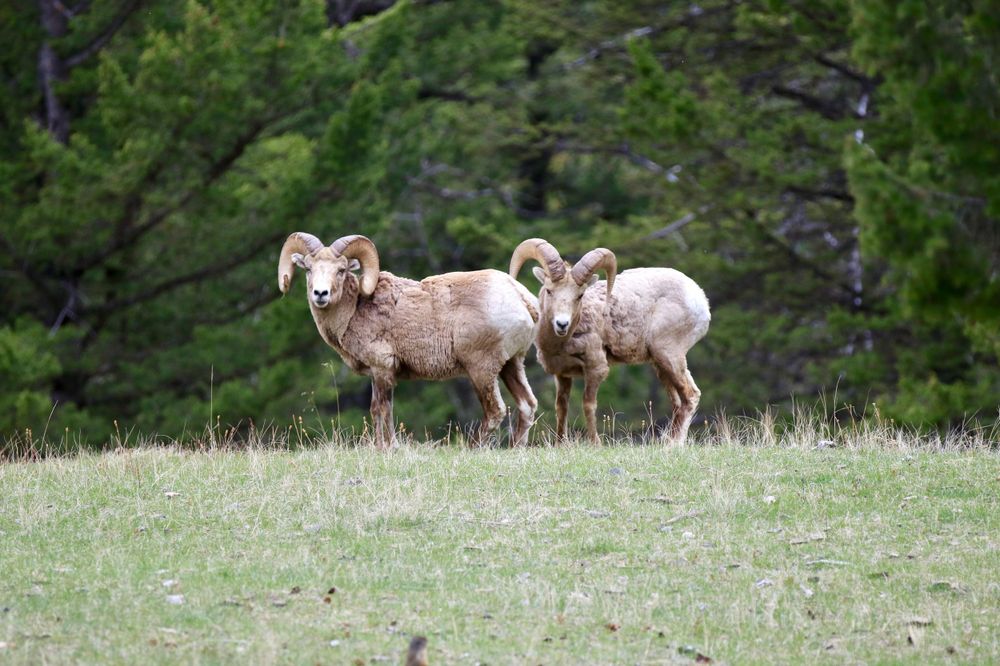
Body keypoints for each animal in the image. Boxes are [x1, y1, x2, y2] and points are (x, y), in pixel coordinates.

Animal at [278, 232, 539, 448]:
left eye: (341, 270)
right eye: (309, 269)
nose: (320, 294)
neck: (354, 309)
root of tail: (521, 297)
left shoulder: (382, 369)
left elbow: (381, 409)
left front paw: (387, 448)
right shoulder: (379, 374)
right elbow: (381, 410)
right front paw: (384, 448)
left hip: (481, 370)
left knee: (495, 411)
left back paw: (472, 448)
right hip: (511, 365)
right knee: (527, 404)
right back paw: (516, 448)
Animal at [509, 238, 710, 444]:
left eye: (580, 295)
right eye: (549, 291)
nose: (562, 324)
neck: (558, 344)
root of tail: (700, 299)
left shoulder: (596, 368)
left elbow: (588, 404)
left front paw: (595, 444)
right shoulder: (562, 374)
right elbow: (561, 407)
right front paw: (560, 444)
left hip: (669, 355)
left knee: (690, 396)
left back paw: (672, 444)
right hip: (660, 365)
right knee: (678, 401)